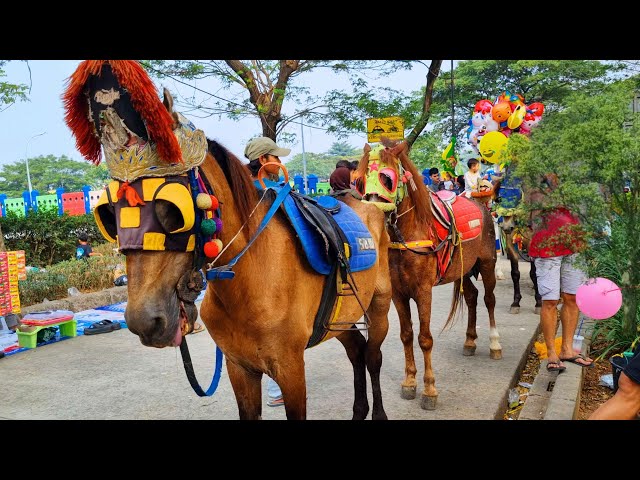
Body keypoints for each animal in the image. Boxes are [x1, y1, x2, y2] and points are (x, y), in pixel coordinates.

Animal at [62, 60, 392, 420]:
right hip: (340, 319)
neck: (250, 280)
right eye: (110, 214)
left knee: (373, 356)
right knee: (356, 351)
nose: (144, 320)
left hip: (378, 306)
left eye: (172, 210)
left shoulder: (291, 368)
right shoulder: (239, 367)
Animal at [356, 141, 500, 410]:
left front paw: (430, 389)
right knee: (472, 297)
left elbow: (425, 339)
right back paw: (470, 341)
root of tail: (482, 205)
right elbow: (406, 335)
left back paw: (495, 344)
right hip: (462, 269)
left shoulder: (423, 291)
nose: (371, 210)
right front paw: (410, 382)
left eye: (387, 178)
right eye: (360, 180)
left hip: (487, 262)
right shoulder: (398, 294)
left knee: (489, 300)